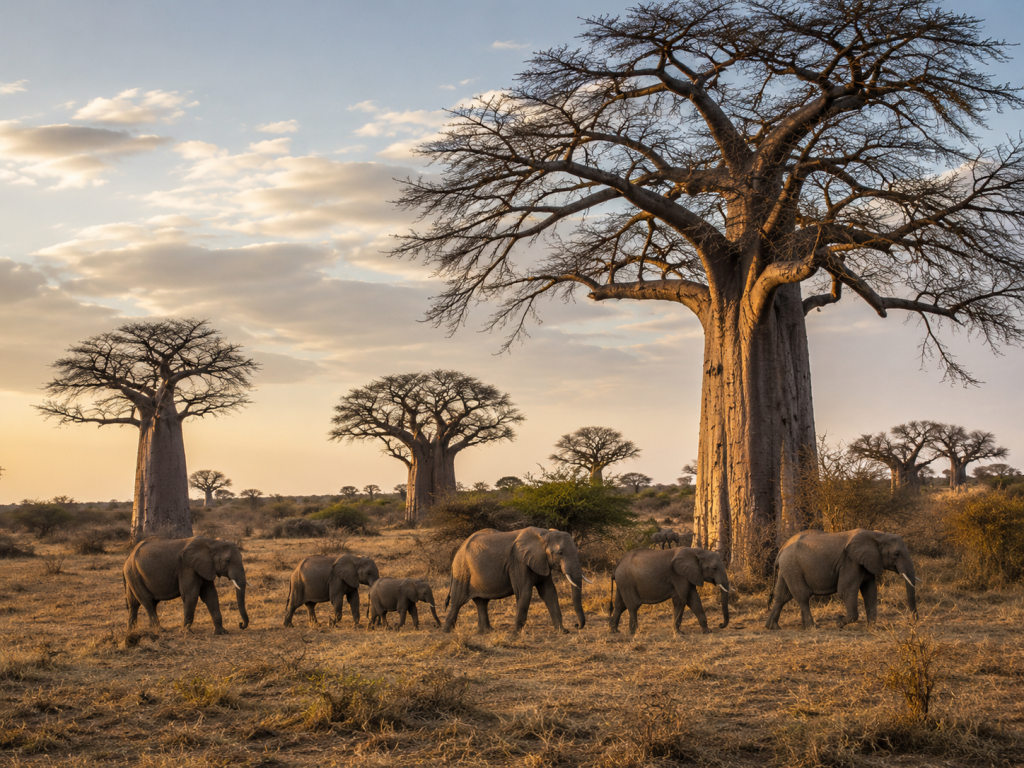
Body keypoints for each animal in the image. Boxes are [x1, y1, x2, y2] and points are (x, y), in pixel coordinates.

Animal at [443, 527, 590, 634]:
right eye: (560, 553)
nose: (576, 625)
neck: (544, 534)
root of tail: (459, 549)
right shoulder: (518, 562)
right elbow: (525, 592)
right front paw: (517, 633)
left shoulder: (542, 561)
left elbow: (549, 593)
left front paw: (563, 631)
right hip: (462, 571)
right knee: (457, 601)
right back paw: (446, 631)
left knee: (481, 602)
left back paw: (487, 631)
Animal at [765, 528, 918, 630]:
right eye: (896, 554)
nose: (911, 621)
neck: (877, 535)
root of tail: (782, 548)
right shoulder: (850, 562)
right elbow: (846, 591)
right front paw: (839, 621)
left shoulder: (868, 562)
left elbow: (870, 592)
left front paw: (871, 627)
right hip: (793, 566)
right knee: (802, 595)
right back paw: (813, 627)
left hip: (788, 567)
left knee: (782, 596)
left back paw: (772, 627)